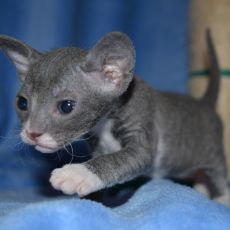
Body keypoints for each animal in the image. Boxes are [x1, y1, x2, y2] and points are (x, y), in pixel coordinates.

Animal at [0, 29, 228, 206]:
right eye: (22, 103)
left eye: (66, 106)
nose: (32, 133)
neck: (105, 123)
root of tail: (204, 102)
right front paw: (92, 198)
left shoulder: (142, 135)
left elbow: (113, 159)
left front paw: (76, 174)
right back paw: (201, 189)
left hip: (213, 154)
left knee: (219, 174)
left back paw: (221, 199)